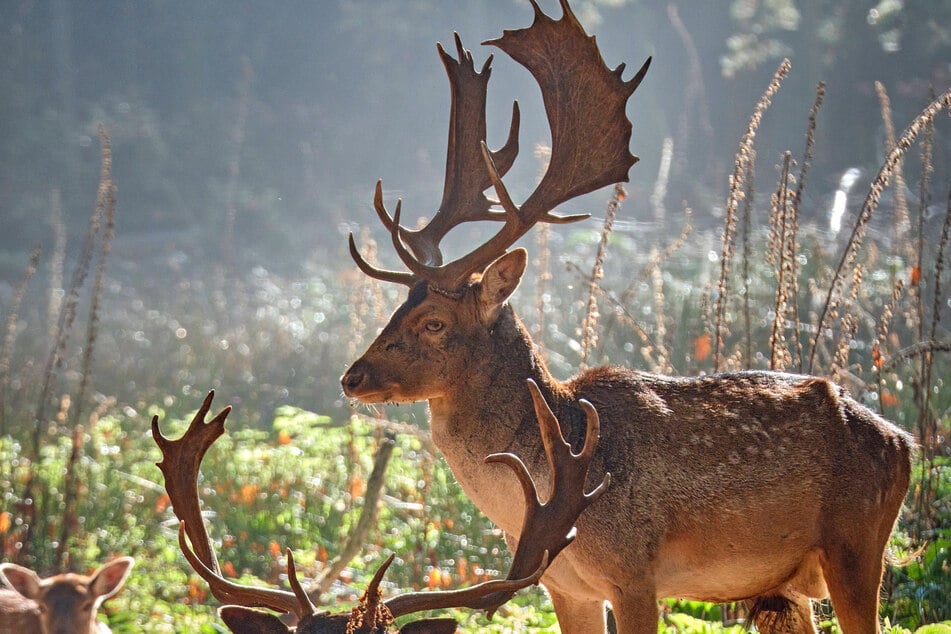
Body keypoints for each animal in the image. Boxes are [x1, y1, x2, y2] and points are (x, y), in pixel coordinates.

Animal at [338, 1, 920, 632]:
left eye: (435, 322)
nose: (352, 376)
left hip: (857, 546)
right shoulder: (564, 586)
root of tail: (905, 443)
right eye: (401, 306)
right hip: (787, 586)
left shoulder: (634, 572)